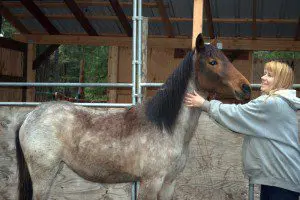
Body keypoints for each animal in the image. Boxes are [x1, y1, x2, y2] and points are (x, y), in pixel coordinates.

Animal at [12, 33, 251, 199]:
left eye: (226, 59)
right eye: (213, 62)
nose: (246, 87)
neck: (166, 128)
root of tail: (29, 116)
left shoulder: (169, 183)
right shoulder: (151, 182)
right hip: (43, 176)